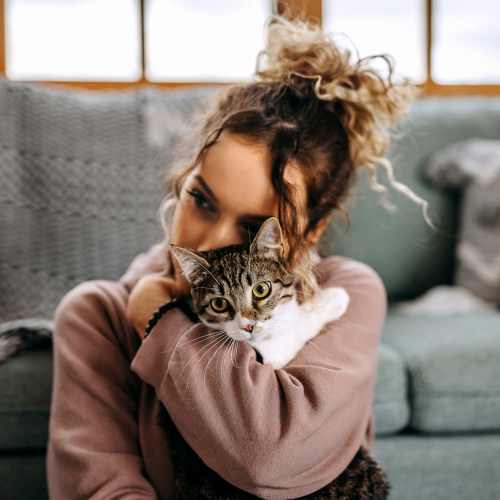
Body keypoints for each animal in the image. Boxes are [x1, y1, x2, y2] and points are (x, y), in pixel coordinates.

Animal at [156, 216, 390, 500]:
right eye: (219, 304)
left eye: (261, 289)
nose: (248, 325)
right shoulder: (267, 355)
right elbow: (295, 328)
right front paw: (330, 299)